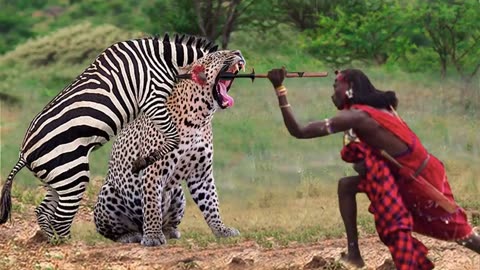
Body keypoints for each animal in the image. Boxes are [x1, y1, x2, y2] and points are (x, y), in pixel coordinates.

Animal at [0, 33, 218, 240]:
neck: (164, 58)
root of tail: (24, 154)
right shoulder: (152, 98)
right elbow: (173, 136)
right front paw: (146, 160)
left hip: (58, 179)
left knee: (43, 212)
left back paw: (49, 241)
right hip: (73, 175)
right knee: (60, 219)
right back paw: (68, 245)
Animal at [94, 49, 246, 246]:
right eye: (217, 55)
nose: (239, 52)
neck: (199, 118)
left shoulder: (201, 172)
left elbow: (211, 202)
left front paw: (222, 230)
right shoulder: (153, 169)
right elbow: (151, 205)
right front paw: (152, 237)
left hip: (177, 192)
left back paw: (169, 232)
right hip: (108, 192)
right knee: (113, 232)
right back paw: (132, 235)